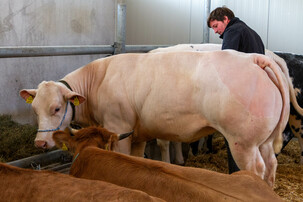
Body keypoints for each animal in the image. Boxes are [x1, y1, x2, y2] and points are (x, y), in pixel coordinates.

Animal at [19, 50, 290, 186]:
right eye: (35, 110)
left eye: (56, 108)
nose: (40, 143)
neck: (100, 79)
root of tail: (254, 57)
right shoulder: (138, 135)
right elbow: (137, 159)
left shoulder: (119, 128)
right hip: (264, 141)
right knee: (271, 166)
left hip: (243, 142)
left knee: (256, 170)